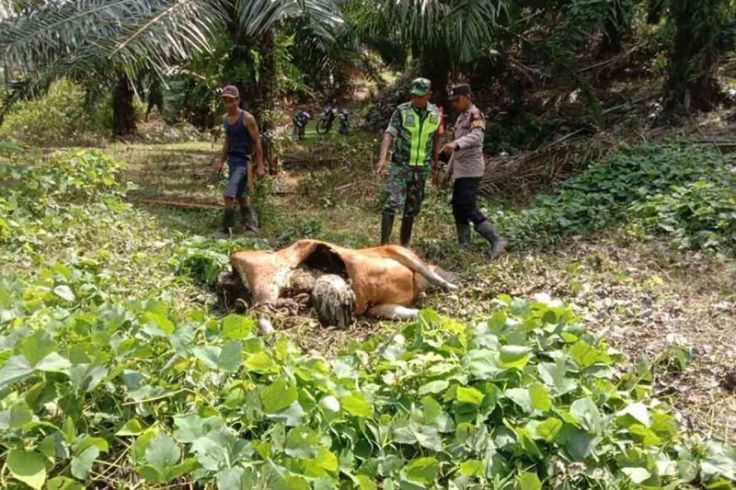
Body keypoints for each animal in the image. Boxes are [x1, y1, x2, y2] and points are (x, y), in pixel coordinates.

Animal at [218, 238, 458, 328]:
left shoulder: (382, 307)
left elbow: (417, 312)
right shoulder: (395, 249)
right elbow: (430, 274)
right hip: (265, 285)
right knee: (262, 312)